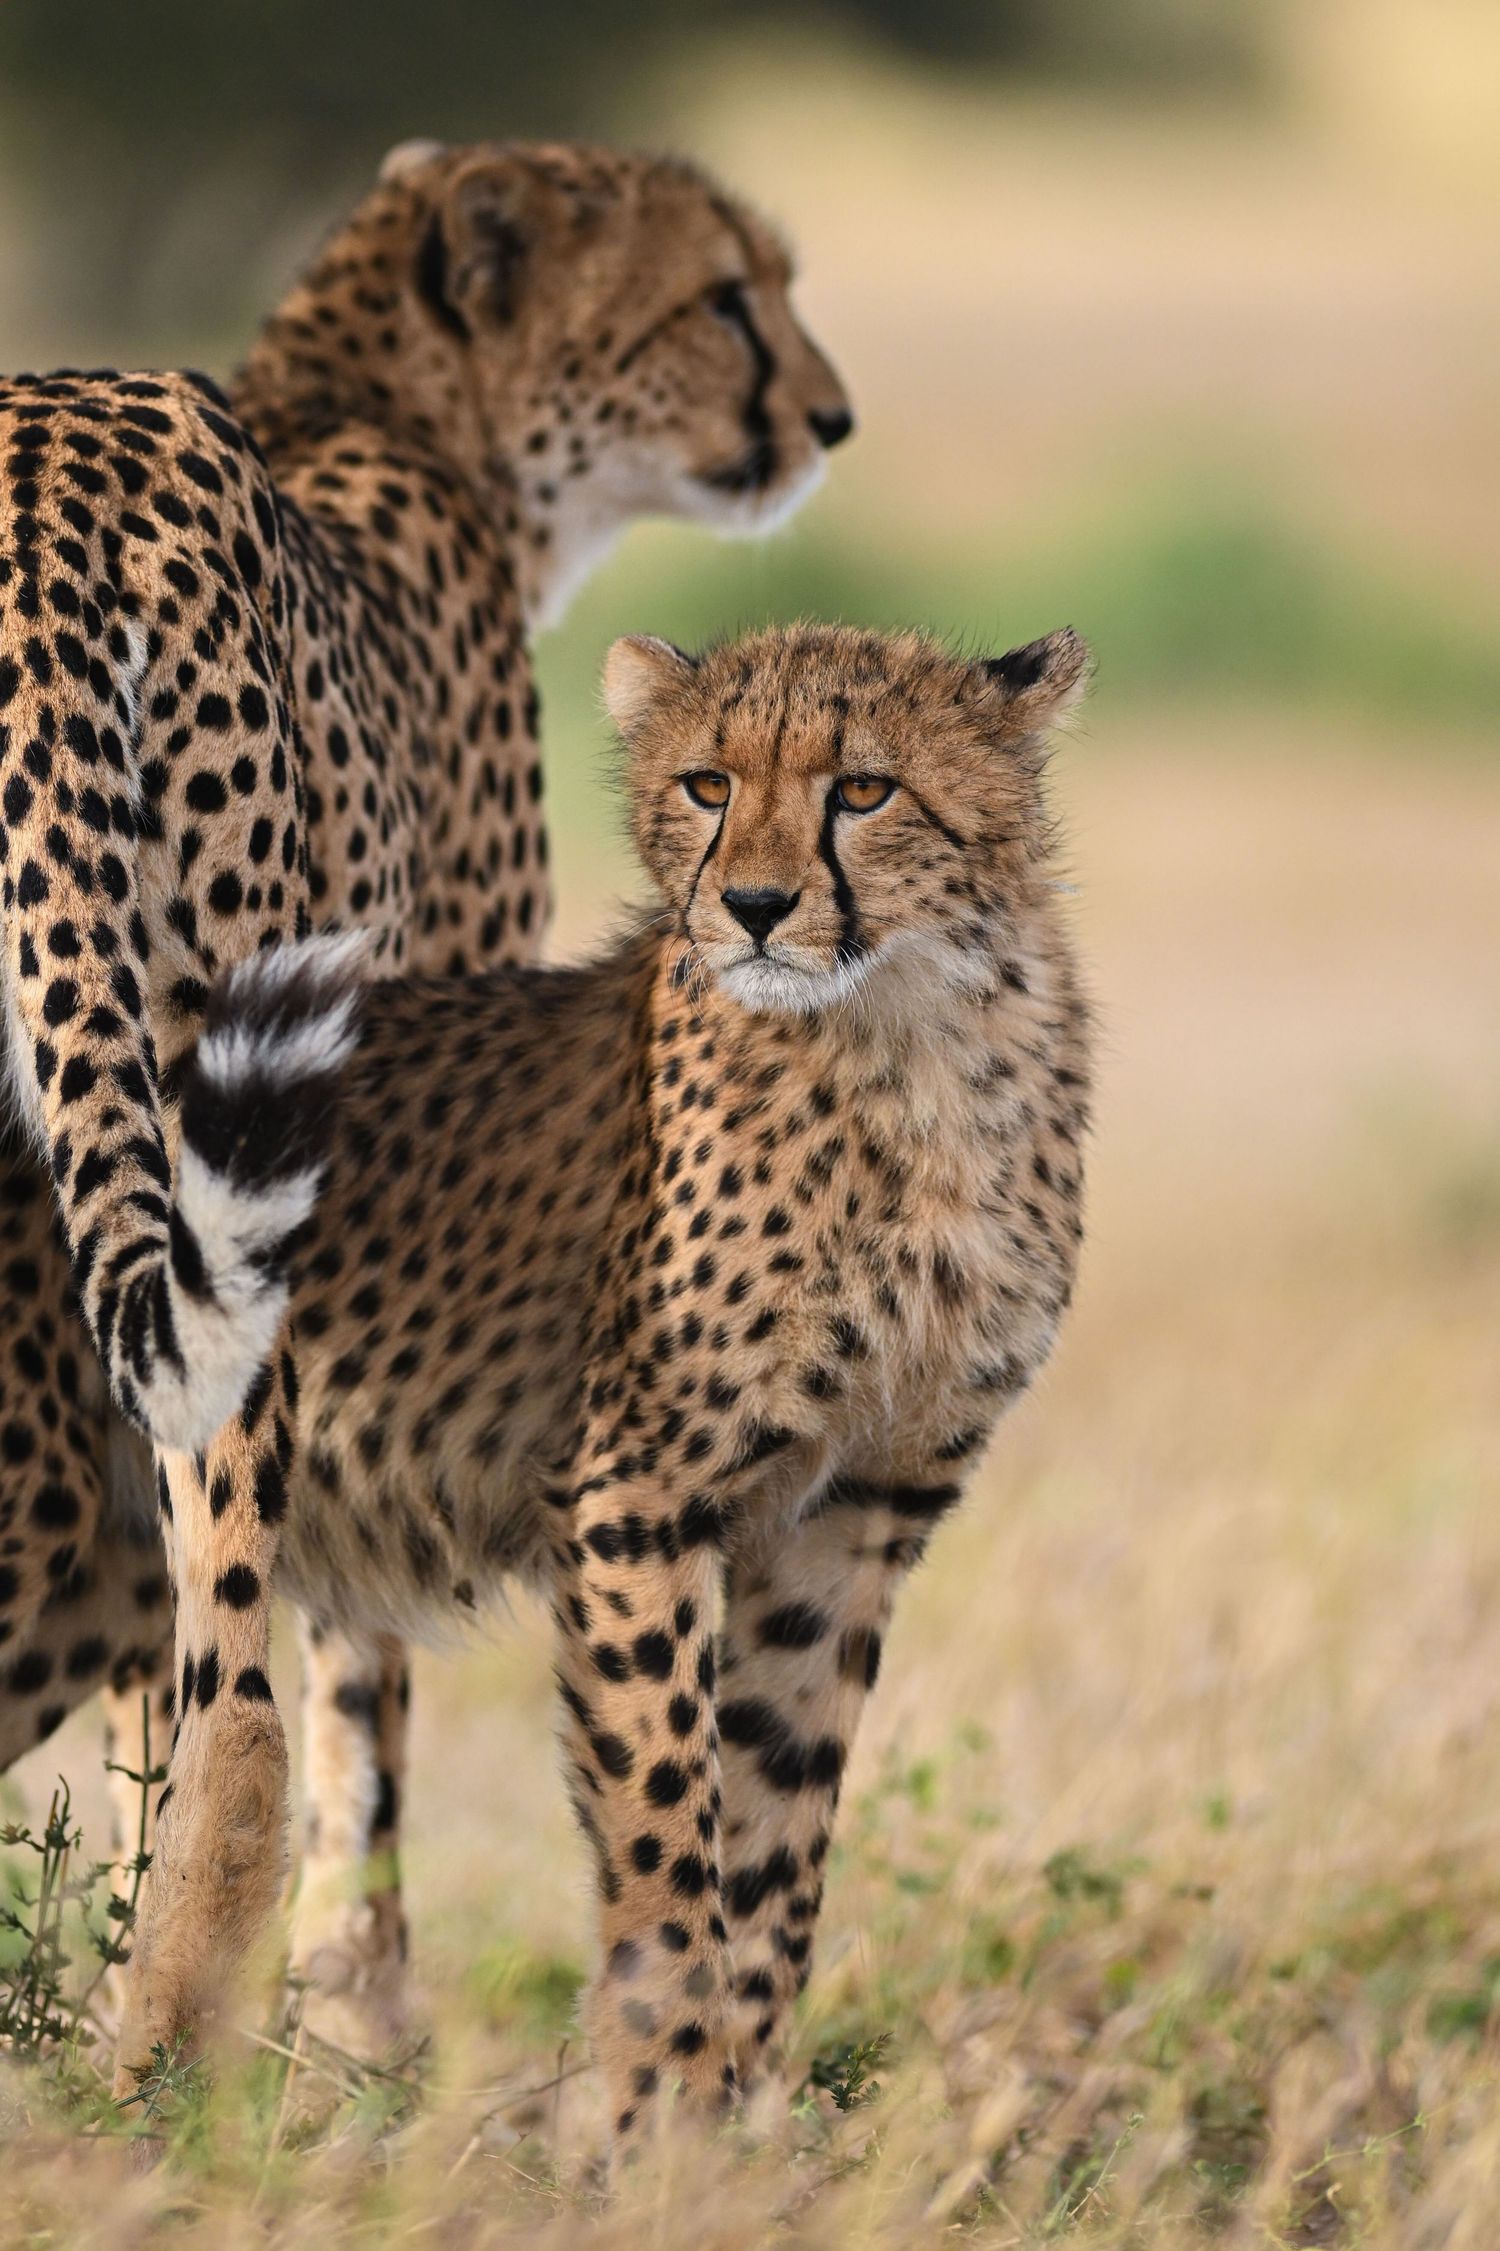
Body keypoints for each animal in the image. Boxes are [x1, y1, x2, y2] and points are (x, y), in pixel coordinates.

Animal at [0, 137, 853, 2046]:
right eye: (725, 297)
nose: (830, 417)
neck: (393, 410)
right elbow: (354, 1661)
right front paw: (362, 2008)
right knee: (239, 1671)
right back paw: (180, 2002)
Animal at [111, 621, 1092, 2154]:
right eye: (707, 782)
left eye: (865, 788)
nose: (753, 904)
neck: (908, 1040)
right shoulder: (640, 1495)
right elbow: (667, 1820)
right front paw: (664, 2114)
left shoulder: (854, 1514)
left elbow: (777, 1835)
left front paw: (745, 2117)